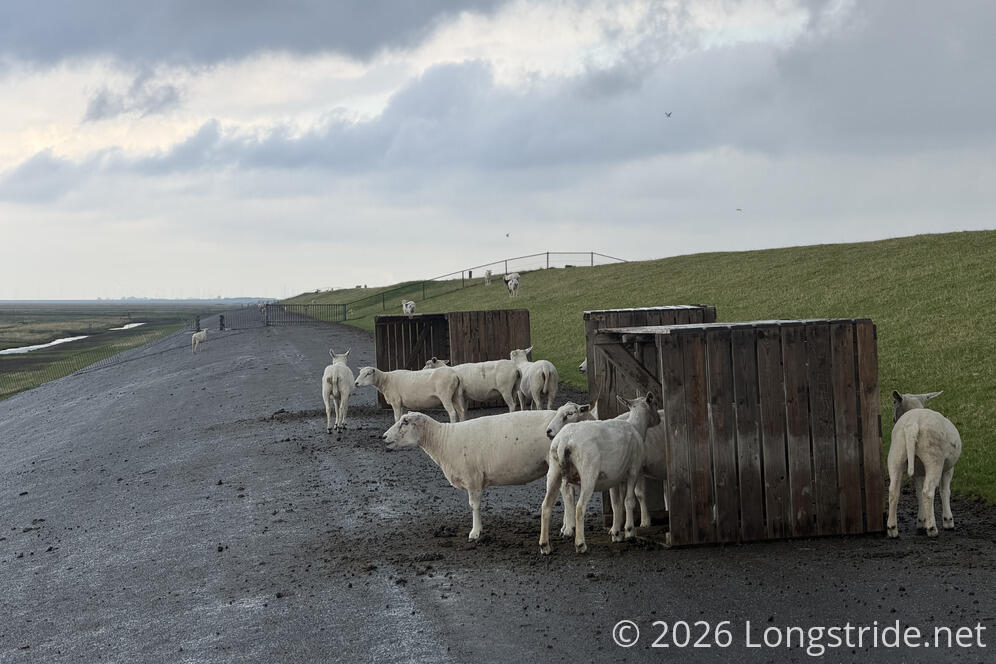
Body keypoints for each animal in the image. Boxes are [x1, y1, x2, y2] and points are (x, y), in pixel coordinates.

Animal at [381, 410, 579, 540]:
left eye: (405, 422)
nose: (383, 437)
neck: (443, 440)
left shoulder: (472, 477)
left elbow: (474, 505)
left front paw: (475, 532)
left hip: (556, 463)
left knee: (567, 493)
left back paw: (569, 528)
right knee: (565, 492)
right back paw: (566, 525)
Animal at [539, 393, 660, 554]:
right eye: (655, 404)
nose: (659, 420)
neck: (636, 426)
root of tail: (565, 440)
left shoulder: (614, 477)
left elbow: (616, 504)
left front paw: (616, 533)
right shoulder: (633, 471)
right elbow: (629, 501)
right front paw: (629, 531)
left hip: (554, 472)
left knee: (546, 506)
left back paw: (545, 546)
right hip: (588, 473)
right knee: (579, 508)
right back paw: (580, 544)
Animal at [887, 390, 962, 538]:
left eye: (894, 402)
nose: (892, 419)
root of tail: (912, 426)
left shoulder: (918, 472)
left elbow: (918, 493)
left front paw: (921, 521)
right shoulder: (948, 468)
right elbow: (945, 491)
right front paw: (948, 521)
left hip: (896, 455)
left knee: (893, 491)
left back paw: (892, 529)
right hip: (934, 459)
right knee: (928, 491)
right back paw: (932, 528)